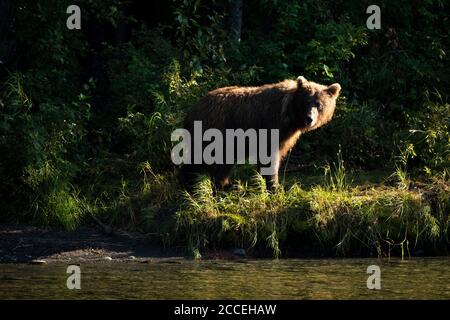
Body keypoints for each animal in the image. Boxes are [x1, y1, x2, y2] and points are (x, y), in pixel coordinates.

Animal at [179, 76, 342, 189]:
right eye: (306, 102)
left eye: (319, 104)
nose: (309, 118)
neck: (289, 116)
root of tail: (192, 110)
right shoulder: (270, 127)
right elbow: (269, 158)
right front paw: (274, 186)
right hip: (217, 132)